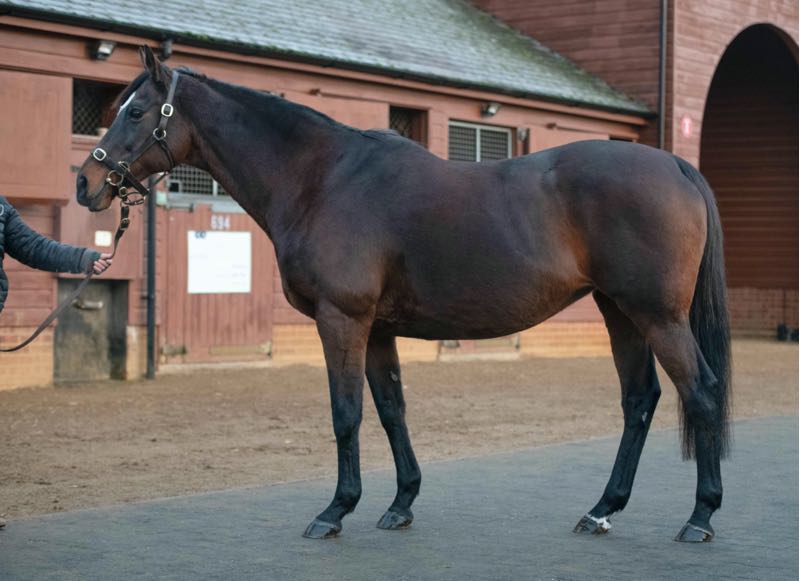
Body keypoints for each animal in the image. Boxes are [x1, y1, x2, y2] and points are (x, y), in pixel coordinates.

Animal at [77, 46, 731, 543]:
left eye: (136, 110)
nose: (87, 182)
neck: (323, 180)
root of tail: (676, 166)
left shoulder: (341, 320)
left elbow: (346, 413)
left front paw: (335, 510)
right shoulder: (378, 330)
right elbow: (392, 409)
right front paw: (400, 503)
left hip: (658, 315)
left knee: (700, 392)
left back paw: (700, 517)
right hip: (619, 311)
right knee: (639, 400)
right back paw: (601, 510)